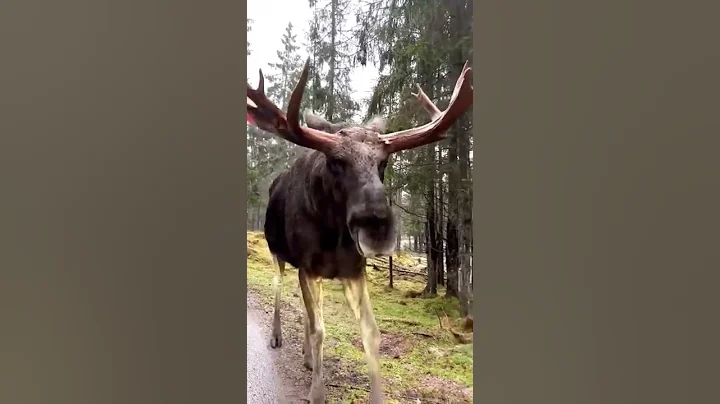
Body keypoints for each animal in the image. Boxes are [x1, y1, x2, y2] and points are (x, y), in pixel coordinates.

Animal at [246, 59, 473, 404]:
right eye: (336, 161)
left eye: (384, 161)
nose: (376, 227)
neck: (333, 235)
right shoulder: (308, 267)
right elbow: (319, 329)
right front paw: (316, 394)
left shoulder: (354, 269)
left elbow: (370, 332)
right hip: (277, 253)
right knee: (278, 289)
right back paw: (277, 337)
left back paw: (308, 357)